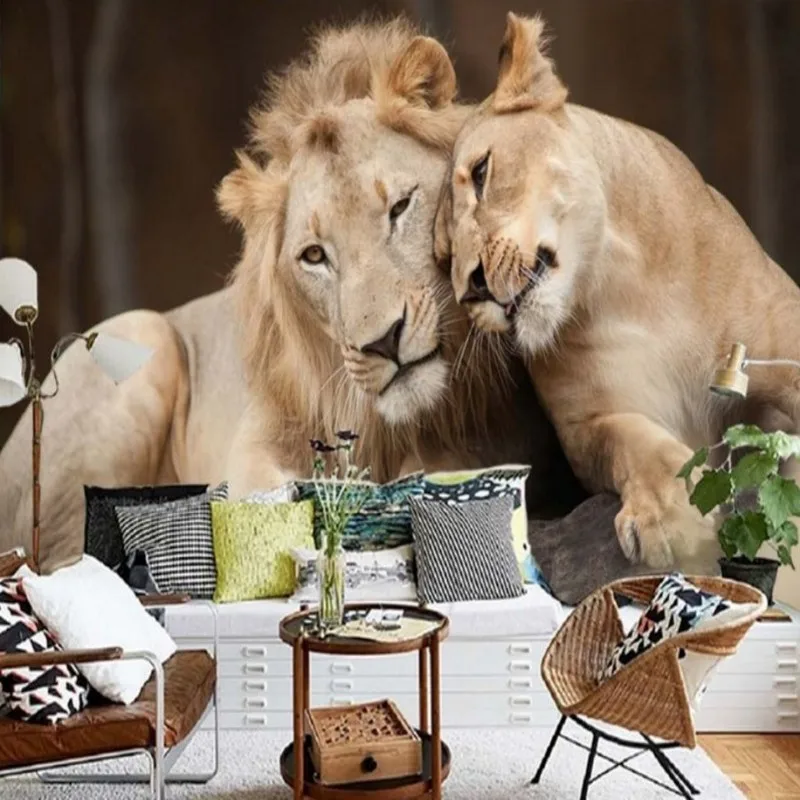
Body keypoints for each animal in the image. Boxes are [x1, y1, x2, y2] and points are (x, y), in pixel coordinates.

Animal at [436, 12, 800, 572]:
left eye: (481, 173)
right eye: (442, 256)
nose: (471, 289)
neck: (620, 285)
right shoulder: (591, 421)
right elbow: (634, 444)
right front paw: (672, 520)